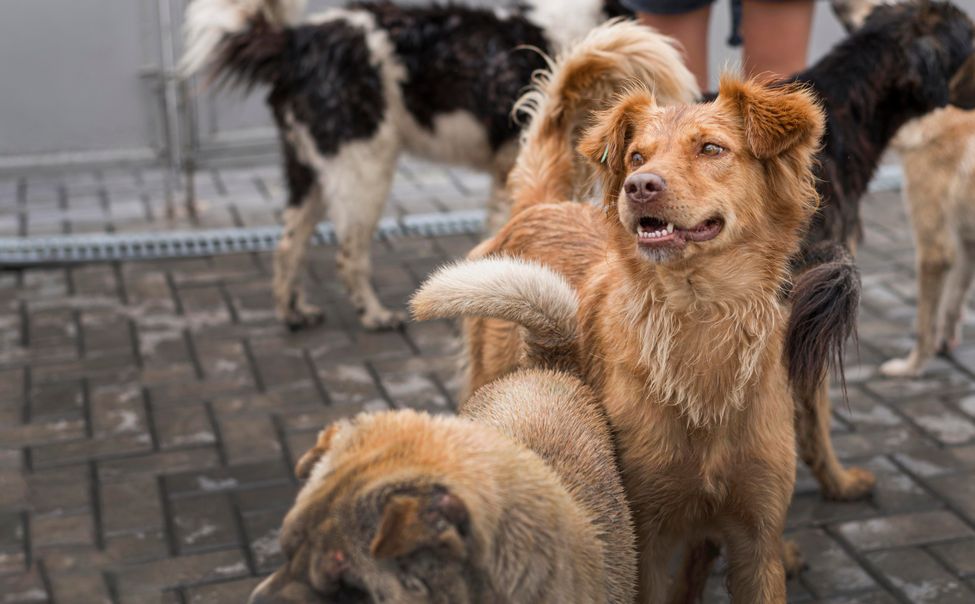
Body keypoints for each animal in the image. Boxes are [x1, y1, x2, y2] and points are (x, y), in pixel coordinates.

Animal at [185, 0, 700, 330]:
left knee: (288, 244)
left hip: (309, 169)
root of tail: (297, 41)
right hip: (363, 168)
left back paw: (293, 313)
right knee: (348, 253)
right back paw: (374, 316)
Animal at [416, 73, 828, 600]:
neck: (699, 317)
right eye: (636, 156)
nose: (640, 186)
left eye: (712, 148)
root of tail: (542, 204)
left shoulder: (757, 539)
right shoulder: (640, 537)